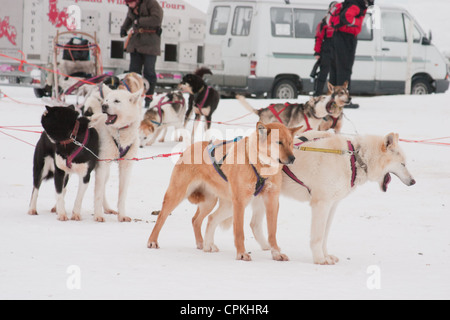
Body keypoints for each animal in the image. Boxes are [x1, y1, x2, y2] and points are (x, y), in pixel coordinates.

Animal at [90, 84, 142, 222]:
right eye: (107, 100)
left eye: (117, 101)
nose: (104, 106)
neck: (120, 132)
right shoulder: (102, 164)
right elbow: (97, 194)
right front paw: (98, 215)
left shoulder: (126, 166)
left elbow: (122, 195)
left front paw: (122, 216)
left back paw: (108, 209)